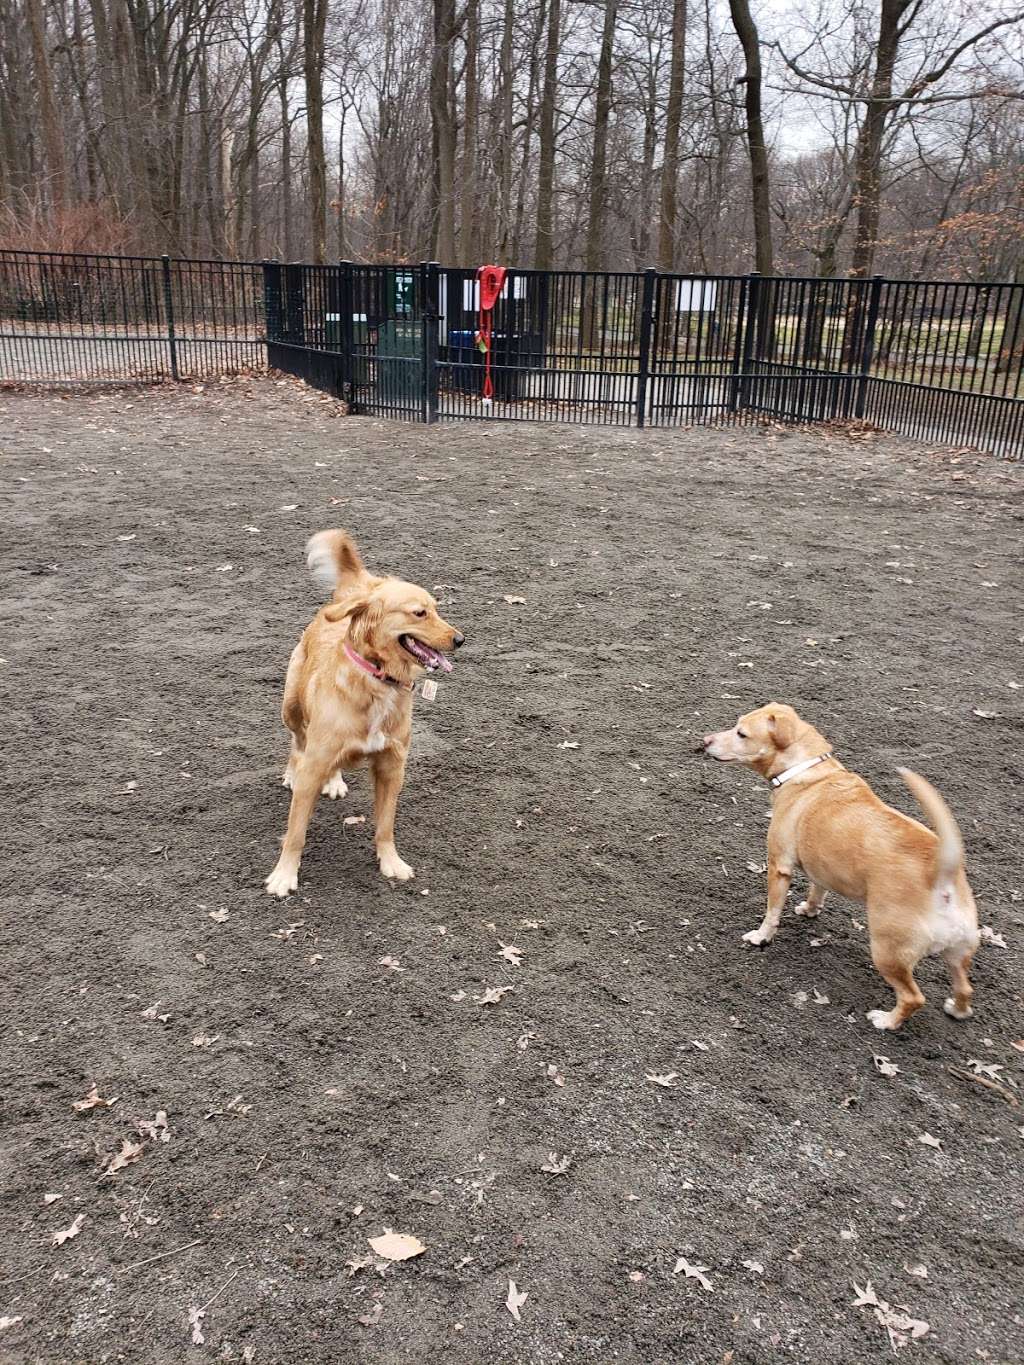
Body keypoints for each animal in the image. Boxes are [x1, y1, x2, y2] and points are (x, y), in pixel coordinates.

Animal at [264, 526, 464, 900]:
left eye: (436, 609)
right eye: (419, 613)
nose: (460, 639)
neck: (377, 681)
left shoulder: (391, 766)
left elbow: (385, 825)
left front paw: (391, 862)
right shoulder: (314, 767)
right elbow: (295, 833)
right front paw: (284, 875)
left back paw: (334, 780)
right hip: (291, 709)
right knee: (297, 742)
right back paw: (292, 772)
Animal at [704, 709, 983, 1026]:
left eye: (741, 733)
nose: (706, 740)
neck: (806, 770)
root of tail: (942, 875)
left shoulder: (779, 866)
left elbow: (772, 913)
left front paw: (761, 937)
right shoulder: (821, 867)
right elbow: (817, 891)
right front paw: (809, 910)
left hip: (887, 950)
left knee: (913, 998)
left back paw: (886, 1021)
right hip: (958, 952)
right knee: (965, 988)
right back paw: (957, 1010)